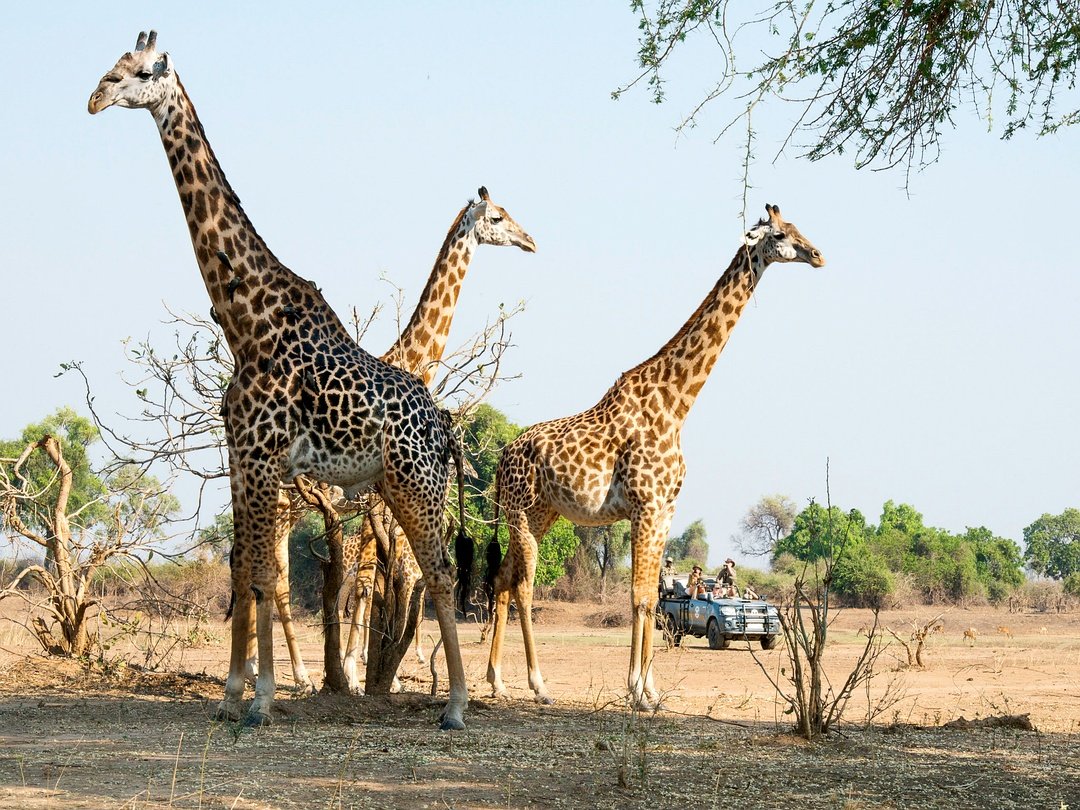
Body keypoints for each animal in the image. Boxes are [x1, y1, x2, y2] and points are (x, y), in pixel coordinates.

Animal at [89, 31, 470, 728]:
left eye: (142, 71)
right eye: (113, 66)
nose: (95, 97)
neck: (246, 320)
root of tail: (446, 426)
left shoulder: (265, 457)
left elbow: (266, 575)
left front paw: (262, 699)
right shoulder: (240, 452)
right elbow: (245, 572)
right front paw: (232, 693)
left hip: (416, 484)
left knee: (440, 574)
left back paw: (455, 706)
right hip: (390, 485)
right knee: (428, 574)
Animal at [263, 188, 536, 693]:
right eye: (497, 217)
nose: (530, 240)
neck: (409, 362)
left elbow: (373, 579)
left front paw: (358, 668)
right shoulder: (377, 496)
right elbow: (371, 580)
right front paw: (354, 671)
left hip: (286, 504)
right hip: (287, 502)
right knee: (279, 576)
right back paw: (300, 675)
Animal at [485, 204, 824, 707]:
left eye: (800, 227)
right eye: (781, 235)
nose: (818, 255)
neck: (676, 404)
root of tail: (502, 458)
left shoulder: (665, 509)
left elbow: (651, 598)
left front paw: (651, 690)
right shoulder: (645, 505)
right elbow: (642, 598)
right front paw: (636, 691)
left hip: (542, 513)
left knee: (504, 579)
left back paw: (496, 679)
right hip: (522, 511)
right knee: (524, 586)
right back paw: (538, 684)